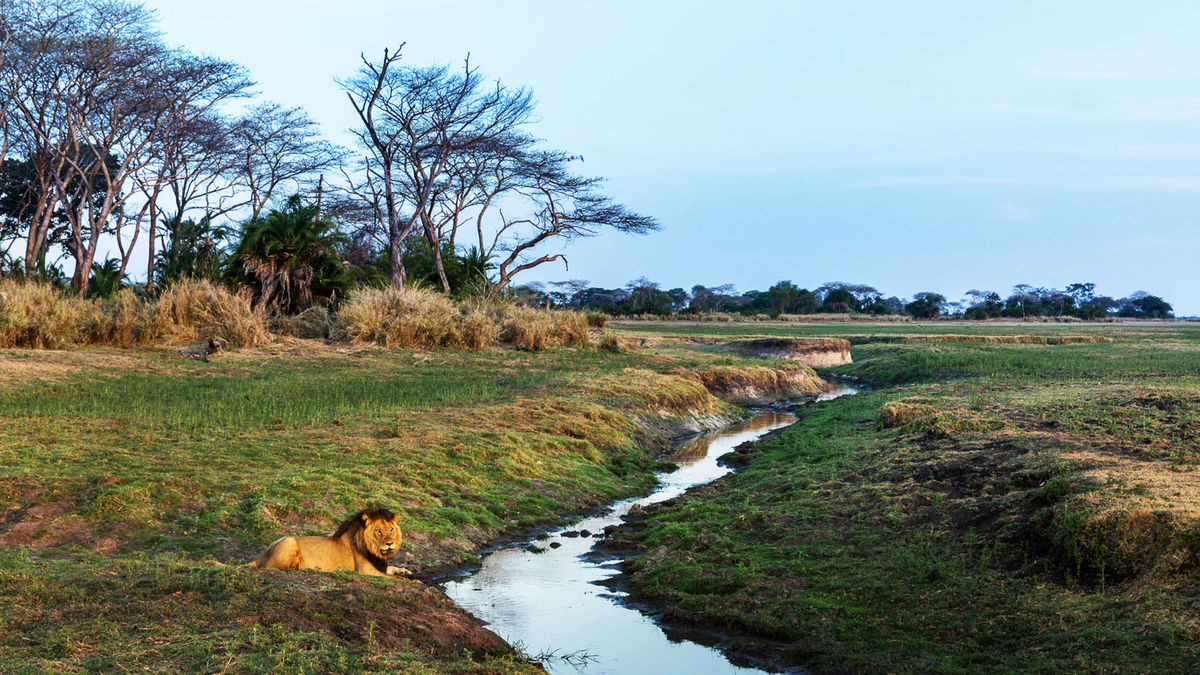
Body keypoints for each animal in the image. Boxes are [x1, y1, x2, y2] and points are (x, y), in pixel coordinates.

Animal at [249, 506, 408, 576]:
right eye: (378, 531)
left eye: (391, 529)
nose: (389, 543)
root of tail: (260, 557)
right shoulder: (367, 571)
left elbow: (392, 568)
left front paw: (404, 571)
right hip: (289, 541)